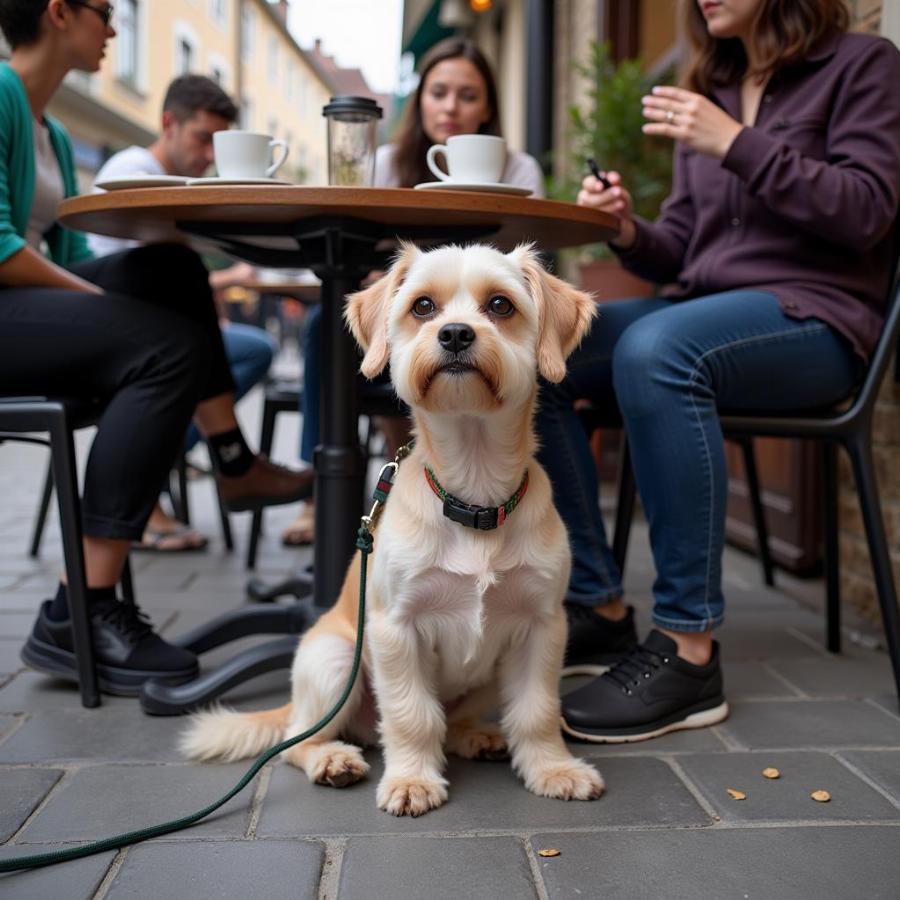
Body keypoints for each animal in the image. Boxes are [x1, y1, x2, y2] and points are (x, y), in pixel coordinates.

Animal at [181, 241, 604, 816]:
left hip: (488, 673)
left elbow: (537, 710)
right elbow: (411, 714)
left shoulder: (542, 627)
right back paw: (331, 759)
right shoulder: (395, 630)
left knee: (453, 718)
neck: (473, 497)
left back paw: (475, 735)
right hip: (336, 660)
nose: (455, 334)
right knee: (299, 738)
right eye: (423, 307)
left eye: (500, 305)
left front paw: (552, 768)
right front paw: (412, 779)